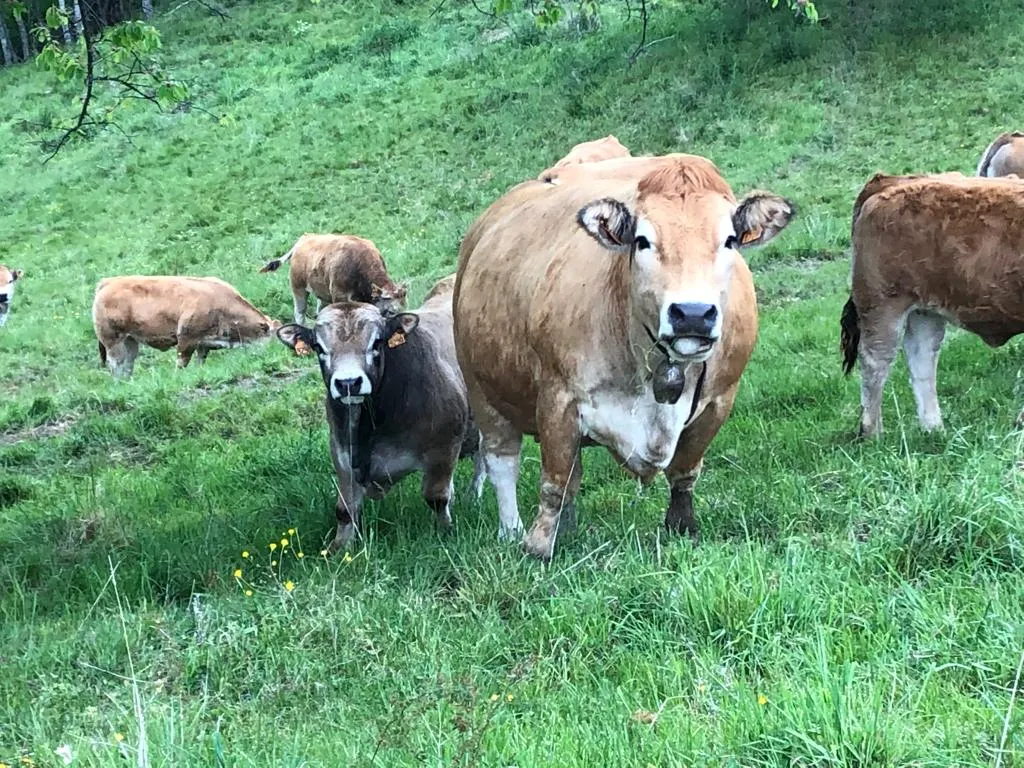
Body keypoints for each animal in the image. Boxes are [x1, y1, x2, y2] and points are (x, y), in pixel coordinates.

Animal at [93, 276, 281, 378]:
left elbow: (199, 362)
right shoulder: (186, 338)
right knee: (115, 363)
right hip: (112, 339)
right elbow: (181, 363)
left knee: (127, 364)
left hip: (131, 340)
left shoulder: (203, 344)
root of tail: (109, 282)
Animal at [259, 234, 408, 325]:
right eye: (392, 311)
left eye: (404, 307)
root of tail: (304, 238)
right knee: (300, 313)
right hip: (298, 288)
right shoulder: (339, 294)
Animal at [276, 274, 485, 553]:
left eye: (376, 343)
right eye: (319, 348)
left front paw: (446, 531)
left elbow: (437, 497)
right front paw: (338, 549)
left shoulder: (444, 447)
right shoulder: (342, 453)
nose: (349, 382)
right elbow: (345, 510)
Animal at [454, 153, 795, 560]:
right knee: (502, 462)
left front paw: (682, 528)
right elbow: (554, 482)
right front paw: (537, 547)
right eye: (643, 240)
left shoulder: (720, 400)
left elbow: (685, 472)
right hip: (482, 390)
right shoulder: (558, 399)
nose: (693, 313)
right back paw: (511, 530)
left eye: (729, 240)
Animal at [840, 171, 1024, 437]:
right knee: (876, 360)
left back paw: (934, 429)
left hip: (924, 311)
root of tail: (892, 180)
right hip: (883, 304)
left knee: (922, 357)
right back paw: (872, 432)